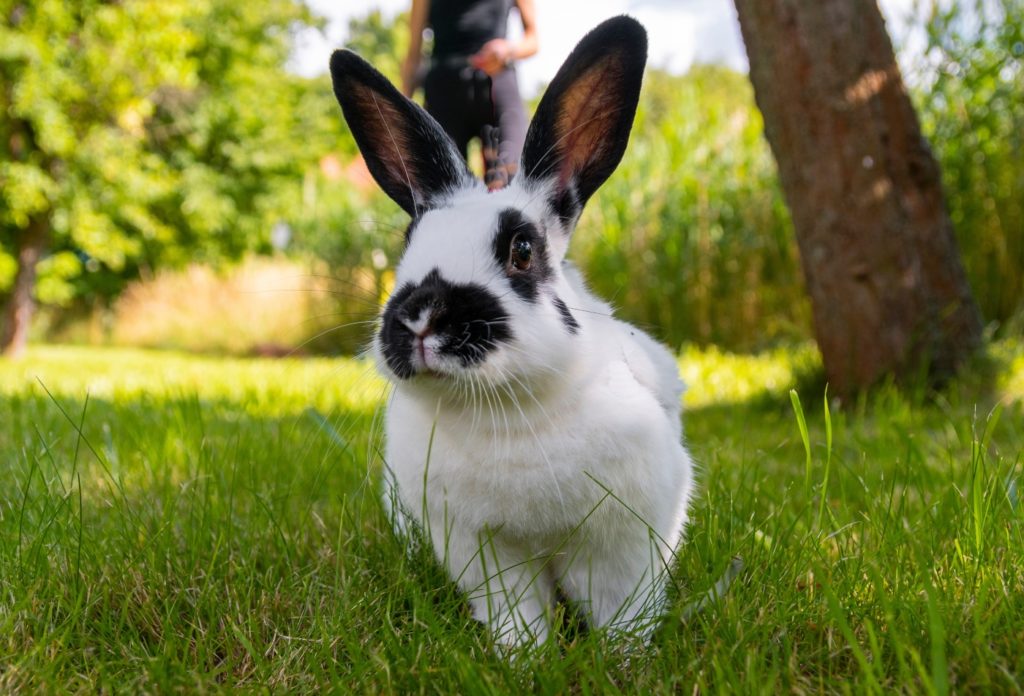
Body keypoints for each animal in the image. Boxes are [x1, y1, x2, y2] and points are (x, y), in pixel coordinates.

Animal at [327, 14, 696, 646]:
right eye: (408, 244)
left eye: (522, 249)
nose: (421, 315)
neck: (506, 413)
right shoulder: (481, 550)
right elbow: (516, 613)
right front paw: (526, 656)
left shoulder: (625, 541)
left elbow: (623, 611)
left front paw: (623, 657)